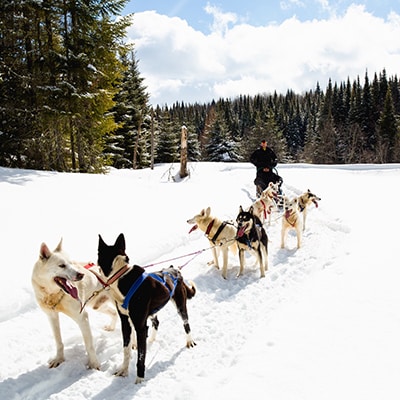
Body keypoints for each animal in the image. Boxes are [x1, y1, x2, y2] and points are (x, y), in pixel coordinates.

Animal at [31, 239, 116, 370]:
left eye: (71, 263)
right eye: (62, 265)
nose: (81, 275)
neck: (53, 294)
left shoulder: (82, 318)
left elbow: (89, 345)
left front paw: (94, 364)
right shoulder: (52, 317)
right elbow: (58, 342)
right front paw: (59, 359)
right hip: (98, 306)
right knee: (114, 313)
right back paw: (111, 327)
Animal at [97, 234, 197, 384]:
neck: (121, 276)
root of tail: (175, 270)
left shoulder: (140, 327)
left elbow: (141, 356)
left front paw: (139, 379)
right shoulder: (125, 322)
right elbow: (126, 350)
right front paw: (124, 370)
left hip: (180, 305)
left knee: (186, 323)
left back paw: (189, 341)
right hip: (152, 312)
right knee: (156, 322)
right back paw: (151, 340)